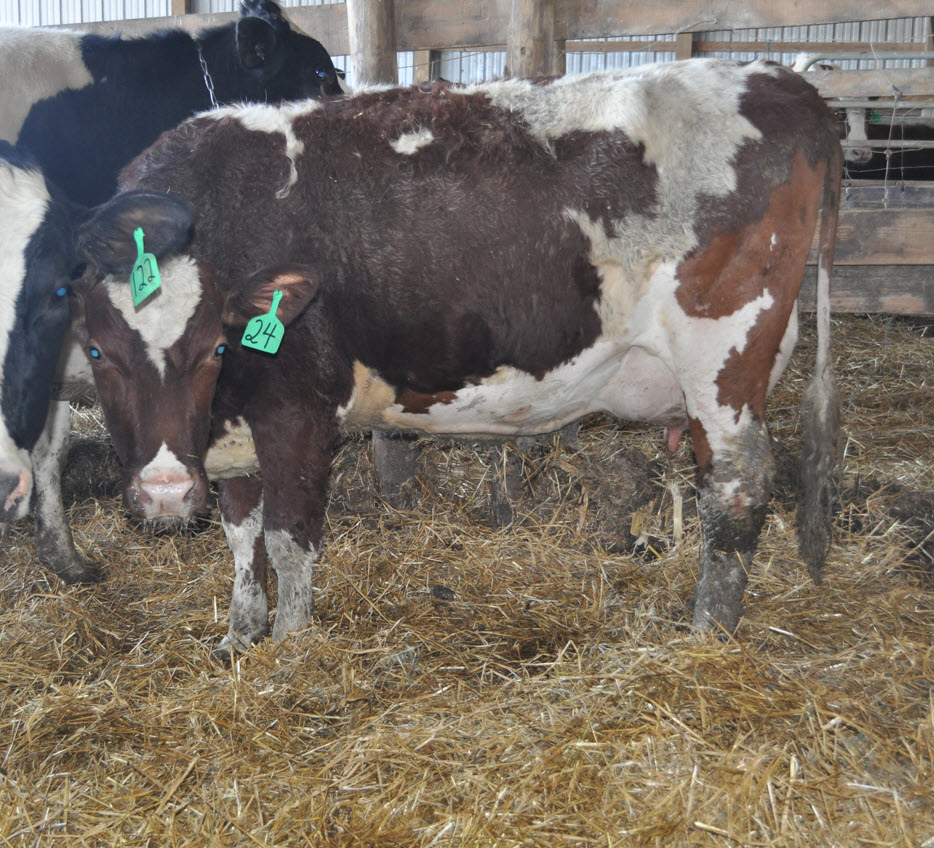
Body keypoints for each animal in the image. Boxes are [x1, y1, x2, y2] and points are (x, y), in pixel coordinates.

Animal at [72, 59, 843, 654]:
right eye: (97, 349)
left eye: (214, 346)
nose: (165, 493)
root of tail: (779, 79)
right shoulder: (235, 428)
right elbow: (242, 535)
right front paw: (240, 635)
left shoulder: (297, 412)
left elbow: (290, 540)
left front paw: (290, 650)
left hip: (724, 353)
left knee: (738, 489)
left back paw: (709, 633)